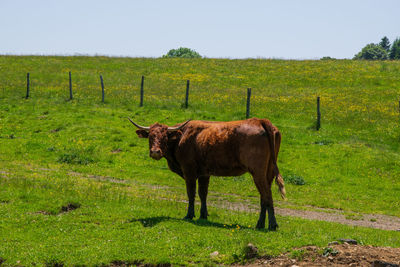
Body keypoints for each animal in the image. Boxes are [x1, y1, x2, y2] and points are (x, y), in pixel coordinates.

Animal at [130, 118, 286, 231]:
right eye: (150, 136)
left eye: (165, 137)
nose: (155, 152)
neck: (181, 138)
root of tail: (259, 120)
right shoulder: (204, 173)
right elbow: (203, 193)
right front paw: (203, 215)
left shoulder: (189, 171)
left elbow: (191, 193)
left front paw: (189, 215)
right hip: (268, 172)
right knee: (263, 197)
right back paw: (260, 224)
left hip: (257, 172)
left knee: (267, 195)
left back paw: (272, 225)